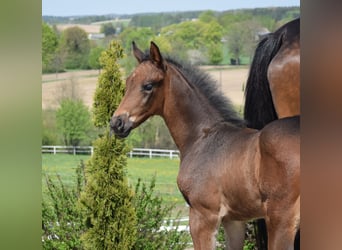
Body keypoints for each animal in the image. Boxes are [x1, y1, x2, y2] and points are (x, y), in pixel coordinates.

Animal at [110, 42, 300, 249]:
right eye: (128, 83)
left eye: (148, 86)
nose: (116, 123)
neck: (202, 137)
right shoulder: (234, 220)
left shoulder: (203, 215)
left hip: (281, 218)